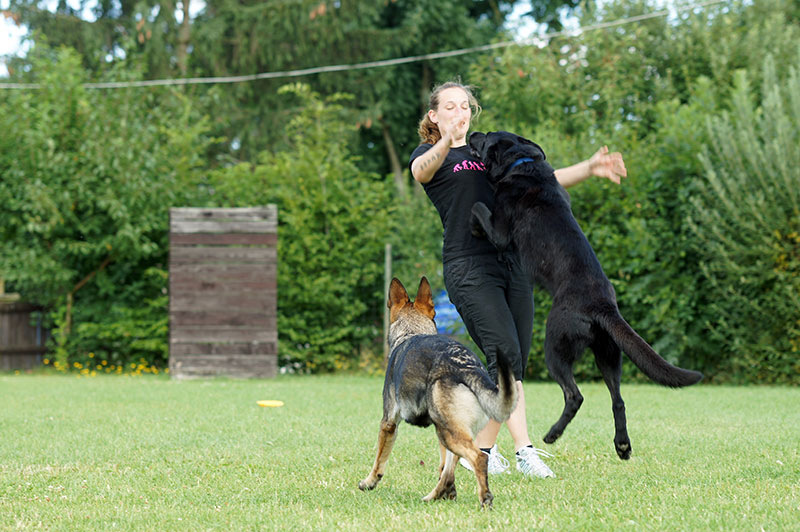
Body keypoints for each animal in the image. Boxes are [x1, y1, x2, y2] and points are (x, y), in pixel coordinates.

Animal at [358, 276, 520, 510]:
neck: (411, 331)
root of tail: (466, 366)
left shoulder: (388, 423)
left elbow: (379, 459)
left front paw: (369, 482)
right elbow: (444, 467)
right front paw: (449, 494)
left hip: (447, 431)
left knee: (479, 458)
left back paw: (484, 498)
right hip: (448, 430)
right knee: (450, 469)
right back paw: (436, 495)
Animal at [466, 131, 704, 460]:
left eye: (488, 137)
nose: (473, 133)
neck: (521, 164)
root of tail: (603, 306)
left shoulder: (500, 229)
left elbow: (477, 207)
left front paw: (473, 226)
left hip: (555, 347)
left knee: (575, 395)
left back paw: (553, 434)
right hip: (609, 355)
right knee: (618, 400)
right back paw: (622, 446)